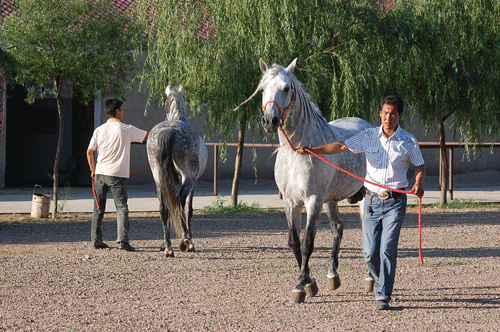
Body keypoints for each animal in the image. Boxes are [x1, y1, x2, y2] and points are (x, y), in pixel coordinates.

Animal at [146, 85, 208, 256]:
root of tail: (170, 131)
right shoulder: (195, 182)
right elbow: (189, 210)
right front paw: (188, 240)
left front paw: (164, 244)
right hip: (188, 178)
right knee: (180, 203)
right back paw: (185, 241)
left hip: (158, 179)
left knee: (163, 209)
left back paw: (168, 248)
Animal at [254, 58, 372, 302]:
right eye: (262, 90)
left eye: (286, 88)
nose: (270, 120)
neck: (297, 152)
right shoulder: (291, 203)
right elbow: (295, 243)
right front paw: (310, 283)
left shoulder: (313, 201)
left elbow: (308, 244)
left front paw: (300, 287)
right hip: (331, 201)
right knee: (338, 228)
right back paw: (333, 275)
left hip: (365, 197)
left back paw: (370, 278)